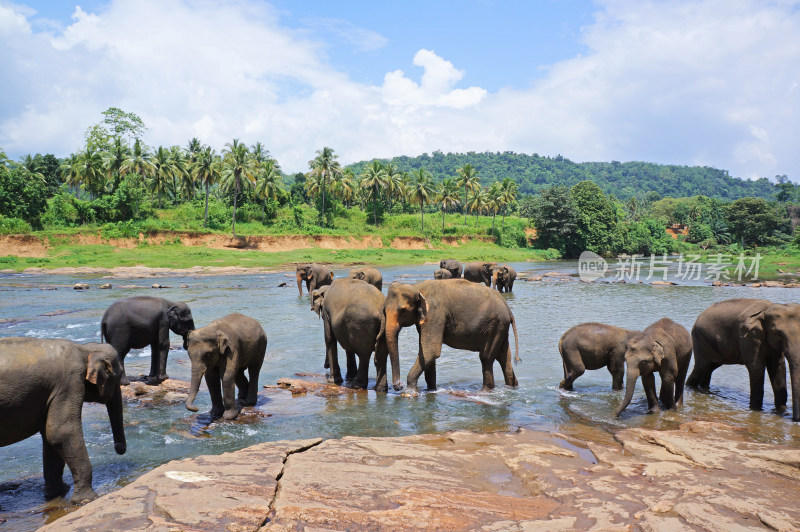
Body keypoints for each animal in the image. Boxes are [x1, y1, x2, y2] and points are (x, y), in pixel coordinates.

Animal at [0, 338, 126, 500]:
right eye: (119, 376)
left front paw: (58, 492)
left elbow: (49, 436)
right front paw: (87, 499)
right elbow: (61, 432)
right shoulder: (69, 382)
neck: (84, 348)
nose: (120, 449)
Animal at [384, 278, 520, 390]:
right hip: (500, 327)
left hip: (495, 324)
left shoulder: (435, 314)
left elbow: (431, 351)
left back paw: (485, 391)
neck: (417, 286)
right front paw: (431, 390)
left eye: (403, 310)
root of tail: (508, 309)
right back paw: (511, 387)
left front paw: (410, 392)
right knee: (504, 358)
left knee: (486, 358)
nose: (398, 385)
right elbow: (427, 354)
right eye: (384, 311)